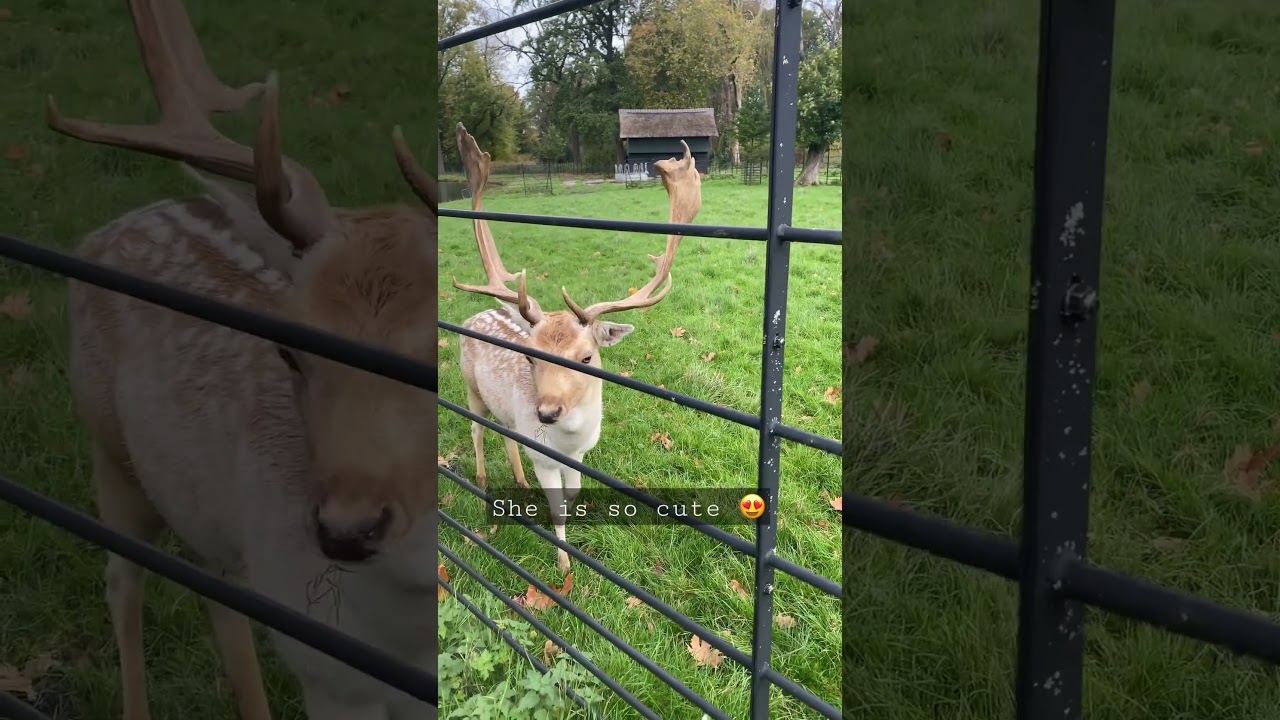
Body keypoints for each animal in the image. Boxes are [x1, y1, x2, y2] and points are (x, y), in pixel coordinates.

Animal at [50, 1, 439, 718]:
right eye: (289, 348)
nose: (346, 531)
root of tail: (109, 226)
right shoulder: (329, 672)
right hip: (105, 445)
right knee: (121, 578)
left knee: (218, 592)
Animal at [450, 122, 702, 575]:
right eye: (530, 354)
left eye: (586, 357)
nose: (547, 412)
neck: (567, 442)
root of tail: (475, 313)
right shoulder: (546, 456)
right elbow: (557, 509)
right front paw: (565, 567)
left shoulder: (581, 454)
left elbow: (574, 496)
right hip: (469, 386)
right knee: (476, 429)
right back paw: (480, 480)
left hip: (504, 412)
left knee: (505, 434)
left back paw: (518, 480)